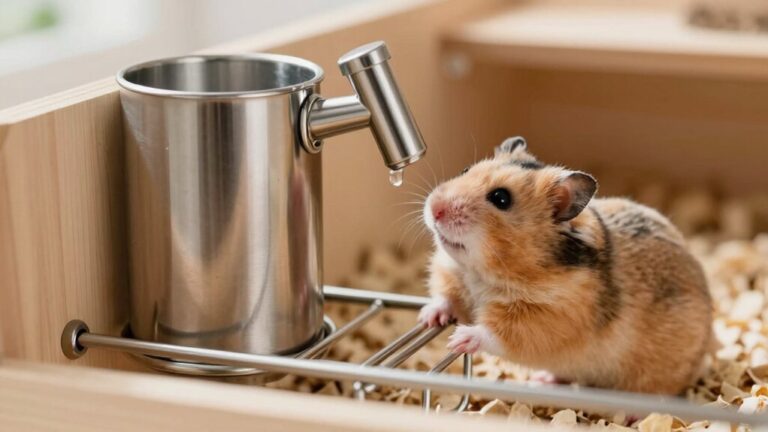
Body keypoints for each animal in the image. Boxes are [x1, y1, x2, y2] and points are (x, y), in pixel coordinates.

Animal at [417, 137, 713, 395]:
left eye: (501, 198)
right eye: (465, 170)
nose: (434, 209)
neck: (481, 271)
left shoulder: (546, 317)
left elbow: (496, 333)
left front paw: (459, 339)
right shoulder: (451, 274)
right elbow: (445, 297)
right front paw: (427, 317)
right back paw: (543, 379)